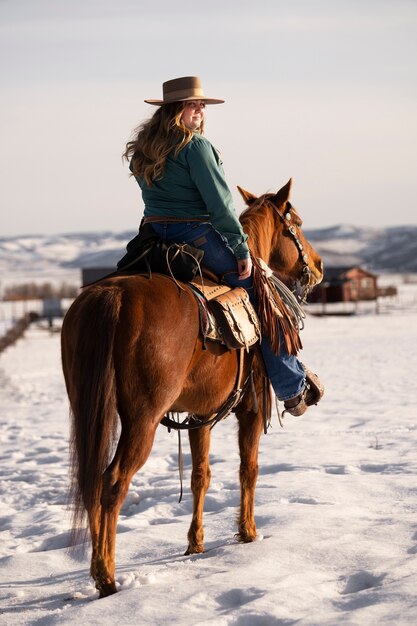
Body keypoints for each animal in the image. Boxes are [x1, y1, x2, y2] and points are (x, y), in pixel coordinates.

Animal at [61, 177, 322, 596]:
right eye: (295, 223)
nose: (318, 266)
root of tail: (113, 295)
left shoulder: (201, 415)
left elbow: (201, 476)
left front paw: (195, 543)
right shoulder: (251, 409)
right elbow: (249, 468)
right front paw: (248, 532)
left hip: (89, 408)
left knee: (91, 483)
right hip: (143, 419)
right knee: (112, 482)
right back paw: (106, 577)